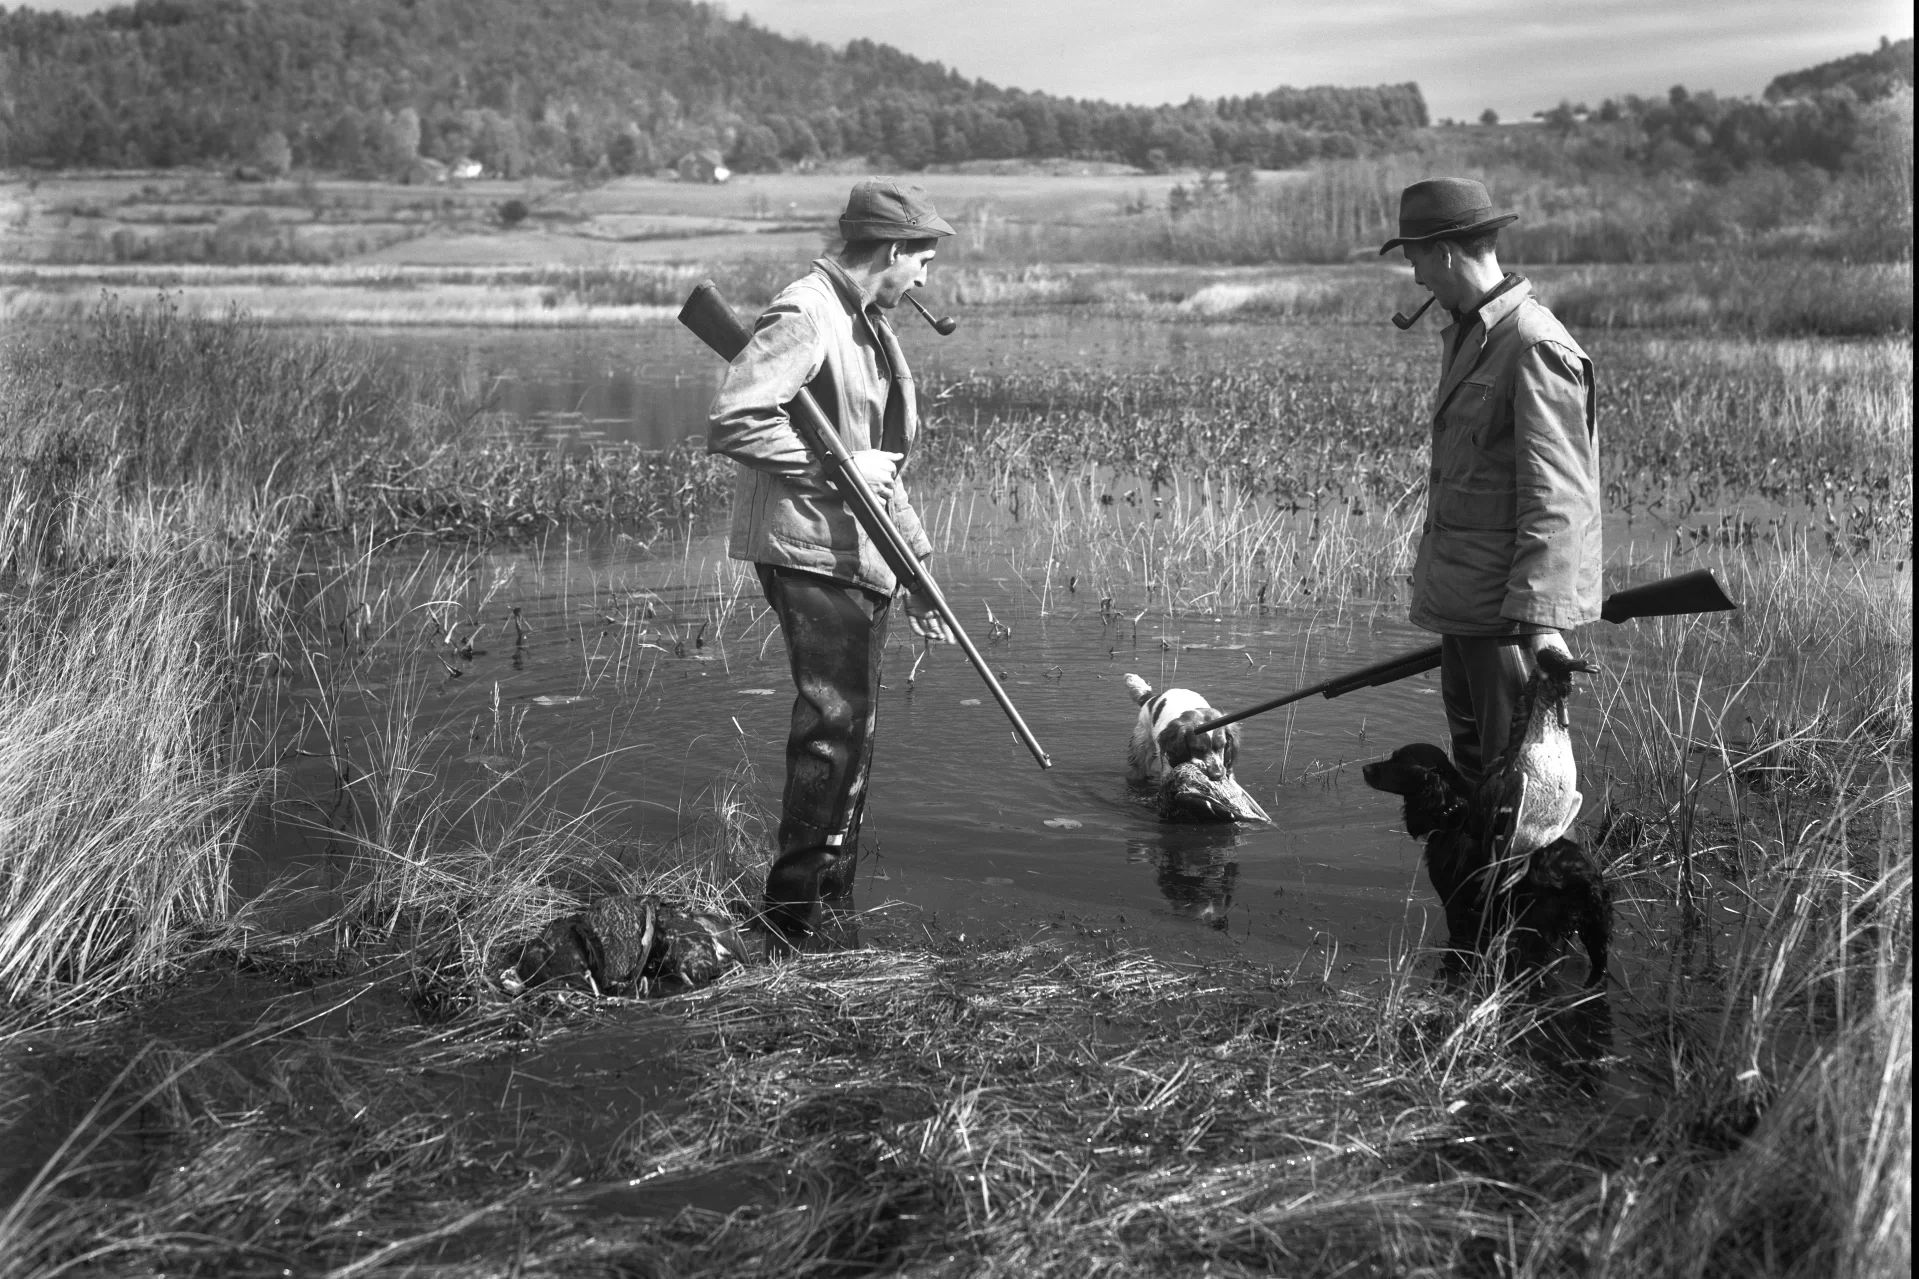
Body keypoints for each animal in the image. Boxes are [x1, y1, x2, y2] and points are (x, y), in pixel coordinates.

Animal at [1358, 741, 1611, 979]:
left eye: (1398, 760)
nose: (1364, 768)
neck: (1453, 816)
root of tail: (1587, 876)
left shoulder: (1455, 904)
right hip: (1594, 935)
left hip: (1537, 928)